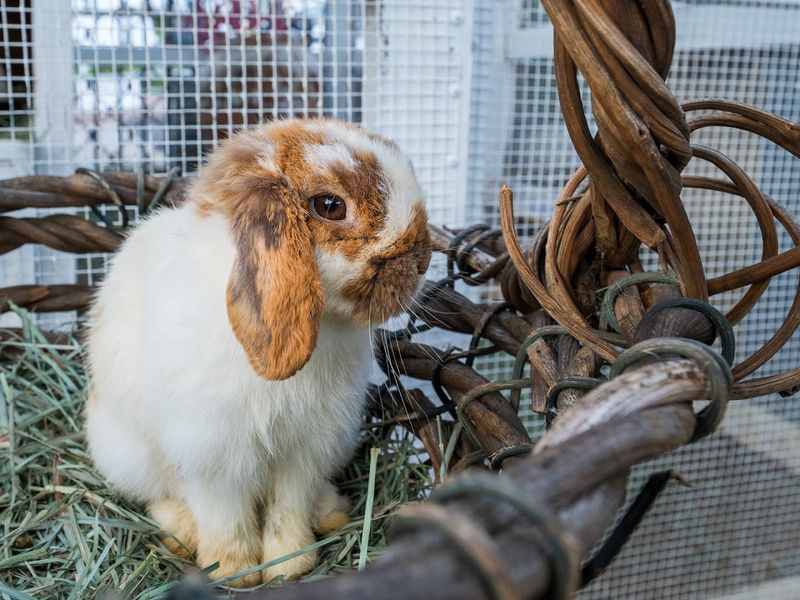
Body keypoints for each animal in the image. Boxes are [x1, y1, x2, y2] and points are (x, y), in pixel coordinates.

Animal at [84, 118, 431, 586]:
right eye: (330, 205)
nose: (423, 260)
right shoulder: (213, 455)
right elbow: (225, 517)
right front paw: (236, 572)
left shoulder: (306, 451)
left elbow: (288, 508)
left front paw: (290, 566)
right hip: (128, 455)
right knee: (158, 495)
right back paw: (182, 532)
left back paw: (331, 513)